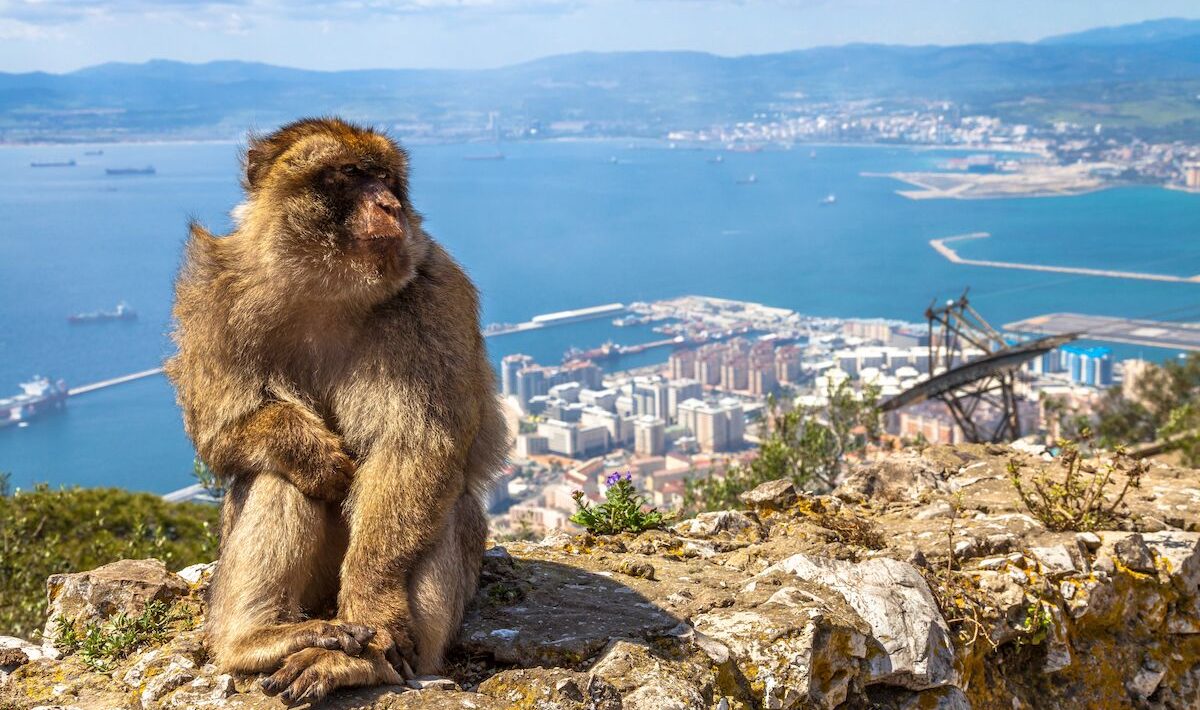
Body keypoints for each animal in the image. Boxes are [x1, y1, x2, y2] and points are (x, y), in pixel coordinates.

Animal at [164, 117, 508, 704]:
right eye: (349, 175)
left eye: (386, 178)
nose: (390, 205)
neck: (328, 289)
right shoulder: (215, 292)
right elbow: (218, 426)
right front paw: (309, 451)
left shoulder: (436, 295)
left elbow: (414, 450)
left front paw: (376, 604)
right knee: (276, 477)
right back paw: (254, 638)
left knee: (441, 505)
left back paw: (361, 662)